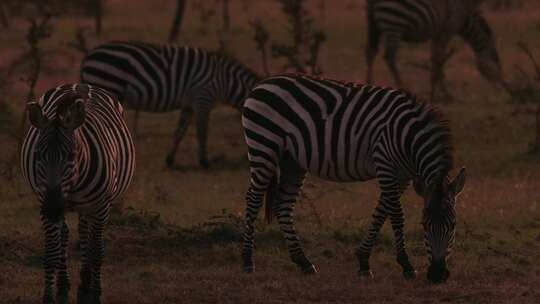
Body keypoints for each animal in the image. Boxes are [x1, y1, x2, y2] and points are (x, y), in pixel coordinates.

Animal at [21, 83, 135, 304]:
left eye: (71, 155)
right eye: (38, 155)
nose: (53, 209)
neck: (73, 184)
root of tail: (82, 84)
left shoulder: (101, 206)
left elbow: (96, 251)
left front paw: (96, 293)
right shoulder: (44, 199)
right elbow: (52, 252)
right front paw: (49, 295)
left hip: (92, 205)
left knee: (85, 234)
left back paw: (85, 282)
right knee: (68, 234)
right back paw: (65, 283)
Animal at [80, 40, 264, 169]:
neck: (225, 81)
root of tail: (88, 56)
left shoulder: (189, 105)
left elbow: (179, 132)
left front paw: (170, 159)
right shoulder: (202, 98)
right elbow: (202, 132)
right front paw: (204, 162)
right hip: (107, 85)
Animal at [240, 73, 464, 282]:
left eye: (453, 225)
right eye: (424, 225)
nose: (437, 275)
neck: (407, 138)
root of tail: (263, 83)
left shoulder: (403, 177)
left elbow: (381, 212)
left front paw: (364, 261)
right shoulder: (384, 163)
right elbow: (396, 215)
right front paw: (406, 265)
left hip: (292, 161)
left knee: (284, 205)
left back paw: (303, 261)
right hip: (264, 146)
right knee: (253, 199)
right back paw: (247, 261)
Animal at [364, 0, 504, 102]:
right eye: (496, 60)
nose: (502, 87)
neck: (464, 18)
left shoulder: (437, 35)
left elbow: (435, 60)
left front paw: (435, 93)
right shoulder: (446, 31)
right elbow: (439, 61)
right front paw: (443, 95)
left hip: (374, 24)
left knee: (370, 53)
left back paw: (369, 85)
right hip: (395, 23)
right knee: (389, 57)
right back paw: (403, 88)